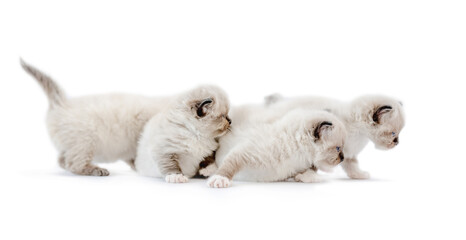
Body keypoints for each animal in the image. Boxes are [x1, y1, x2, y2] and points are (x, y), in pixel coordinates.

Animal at [208, 109, 346, 188]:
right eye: (338, 148)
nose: (343, 158)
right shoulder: (244, 153)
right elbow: (229, 165)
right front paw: (220, 179)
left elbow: (305, 172)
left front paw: (310, 177)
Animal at [264, 94, 406, 179]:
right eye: (394, 133)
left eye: (399, 133)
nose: (397, 142)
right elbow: (316, 163)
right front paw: (309, 176)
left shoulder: (347, 153)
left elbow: (352, 166)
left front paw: (359, 175)